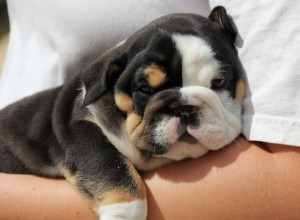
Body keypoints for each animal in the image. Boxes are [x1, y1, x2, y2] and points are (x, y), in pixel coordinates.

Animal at [0, 6, 244, 219]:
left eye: (219, 82)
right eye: (144, 89)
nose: (182, 108)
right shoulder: (81, 128)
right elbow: (112, 169)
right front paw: (122, 214)